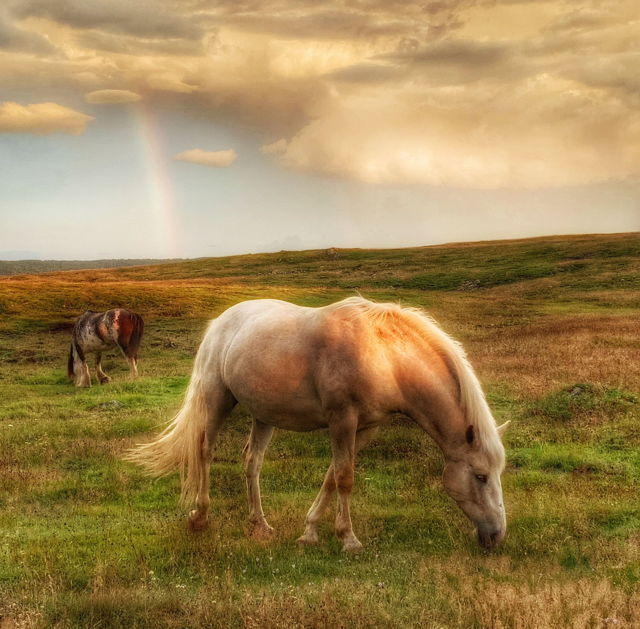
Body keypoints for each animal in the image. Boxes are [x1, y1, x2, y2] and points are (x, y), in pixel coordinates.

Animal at [127, 297, 509, 551]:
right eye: (481, 476)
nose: (497, 535)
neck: (383, 354)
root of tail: (222, 320)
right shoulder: (342, 420)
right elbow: (344, 478)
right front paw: (348, 539)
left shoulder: (363, 428)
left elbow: (332, 476)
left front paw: (310, 531)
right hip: (216, 397)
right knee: (204, 450)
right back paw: (201, 516)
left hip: (264, 415)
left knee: (252, 462)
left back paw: (259, 524)